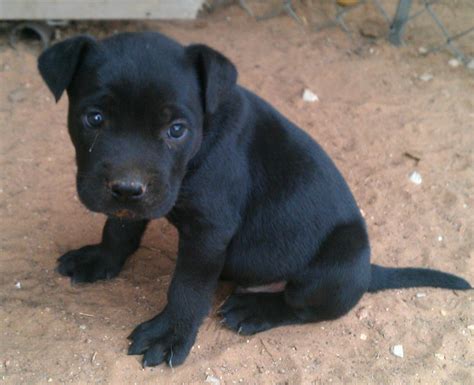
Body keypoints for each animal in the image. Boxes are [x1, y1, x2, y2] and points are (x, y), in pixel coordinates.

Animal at [38, 32, 470, 366]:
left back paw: (256, 309)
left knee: (302, 305)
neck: (204, 137)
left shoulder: (209, 231)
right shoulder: (141, 202)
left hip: (339, 261)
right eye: (94, 118)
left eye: (176, 129)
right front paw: (100, 259)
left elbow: (187, 287)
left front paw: (170, 334)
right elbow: (118, 228)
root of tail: (368, 270)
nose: (127, 188)